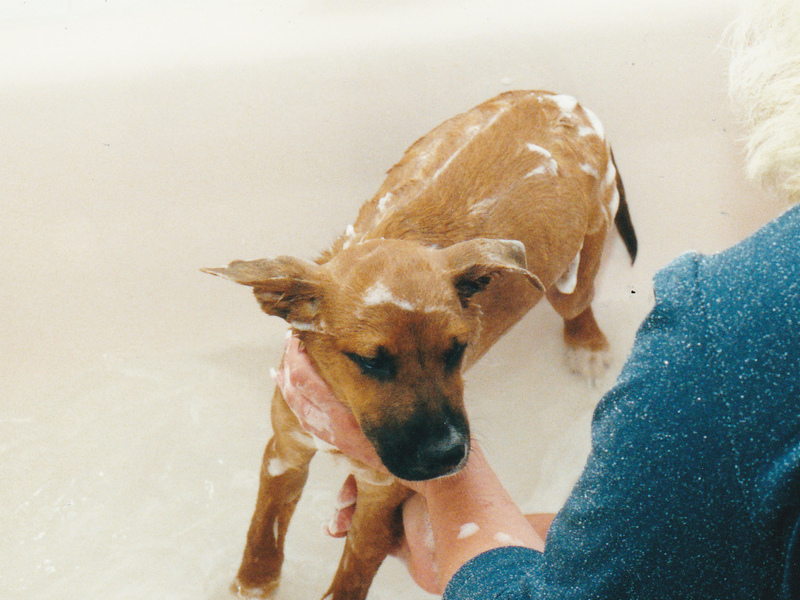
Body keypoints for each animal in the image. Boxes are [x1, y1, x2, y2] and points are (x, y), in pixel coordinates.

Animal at [205, 90, 636, 600]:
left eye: (458, 349)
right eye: (369, 361)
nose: (447, 457)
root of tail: (561, 100)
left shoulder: (381, 492)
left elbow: (354, 566)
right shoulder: (285, 450)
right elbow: (263, 527)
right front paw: (253, 582)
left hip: (578, 262)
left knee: (578, 304)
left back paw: (586, 345)